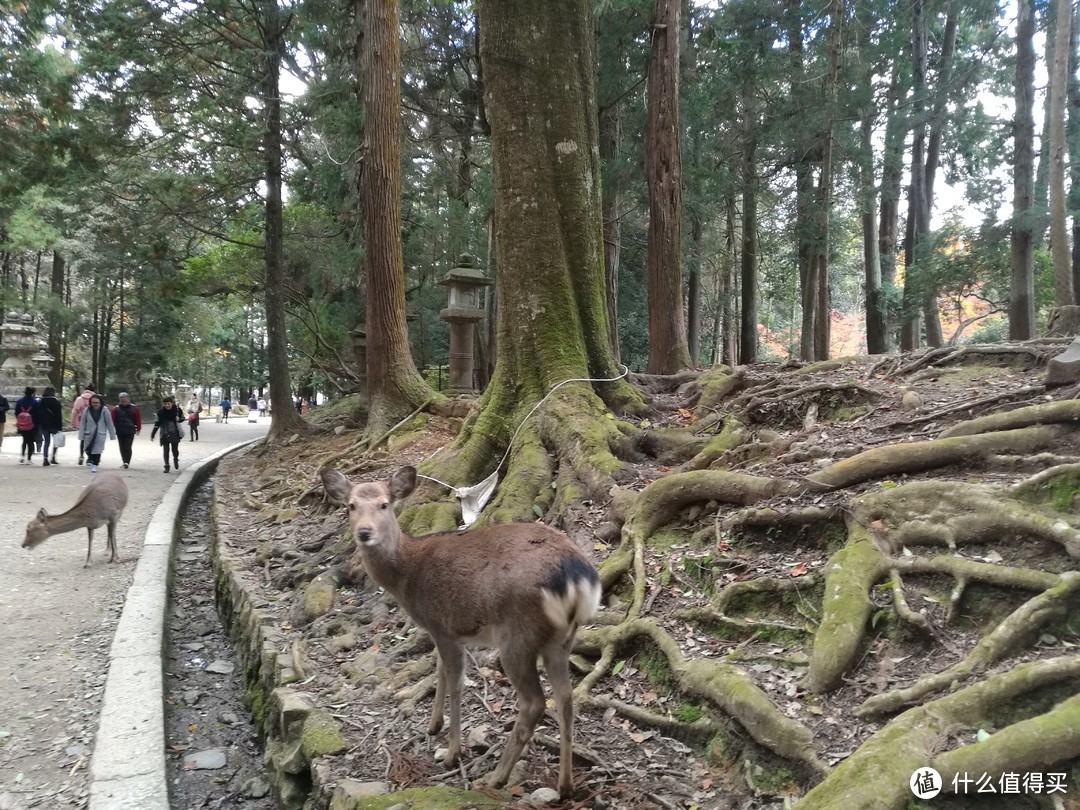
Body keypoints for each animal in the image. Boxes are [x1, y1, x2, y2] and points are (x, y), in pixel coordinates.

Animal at [319, 466, 604, 803]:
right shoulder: (442, 630)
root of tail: (576, 576)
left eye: (384, 504)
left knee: (534, 702)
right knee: (565, 697)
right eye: (350, 506)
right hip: (561, 638)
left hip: (517, 634)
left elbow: (455, 682)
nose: (364, 532)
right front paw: (433, 725)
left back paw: (496, 778)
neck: (406, 576)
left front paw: (452, 752)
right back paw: (565, 785)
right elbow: (440, 670)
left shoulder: (443, 625)